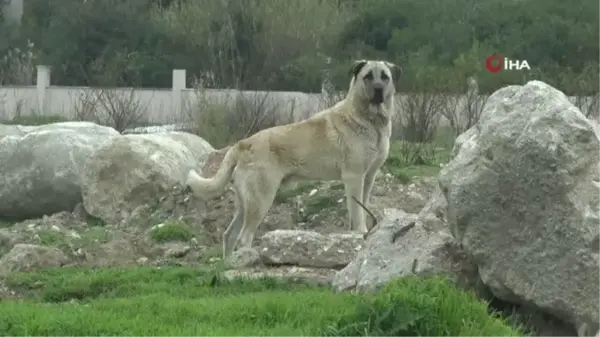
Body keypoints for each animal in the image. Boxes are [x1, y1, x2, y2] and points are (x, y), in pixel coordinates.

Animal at [186, 59, 404, 258]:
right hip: (261, 199)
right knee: (244, 237)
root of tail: (242, 144)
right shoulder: (354, 177)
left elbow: (363, 206)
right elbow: (357, 211)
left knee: (229, 235)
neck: (369, 119)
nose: (378, 90)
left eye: (385, 77)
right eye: (368, 76)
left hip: (245, 202)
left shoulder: (368, 177)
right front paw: (359, 233)